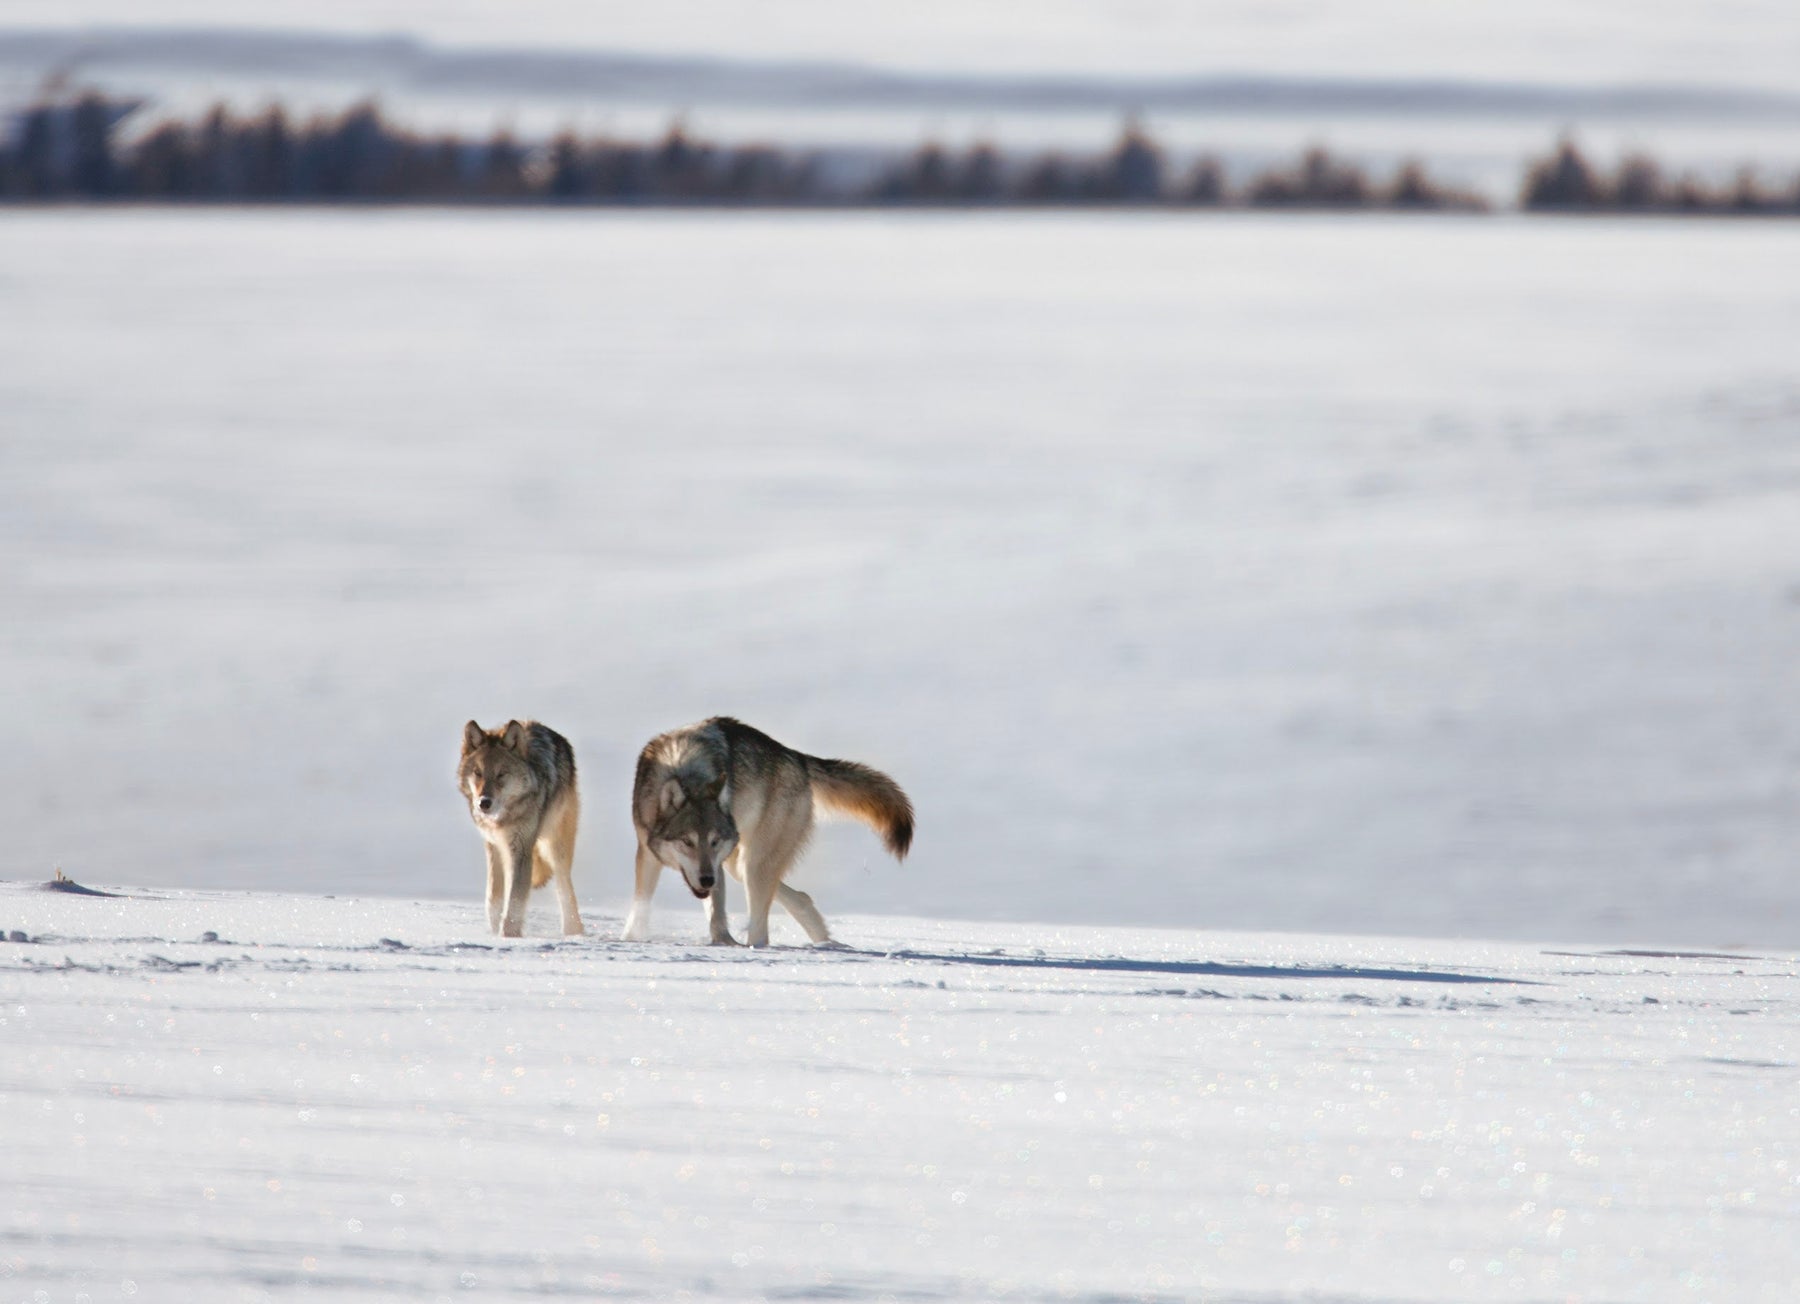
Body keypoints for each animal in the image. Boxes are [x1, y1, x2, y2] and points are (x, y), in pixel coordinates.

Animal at [457, 724, 583, 936]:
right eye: (477, 772)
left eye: (501, 774)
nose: (484, 803)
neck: (503, 819)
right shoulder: (494, 846)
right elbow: (494, 899)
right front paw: (495, 932)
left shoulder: (521, 850)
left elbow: (515, 901)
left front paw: (509, 936)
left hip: (556, 847)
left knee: (565, 889)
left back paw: (573, 932)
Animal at [630, 716, 914, 943]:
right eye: (687, 842)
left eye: (714, 841)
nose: (707, 879)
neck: (685, 768)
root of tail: (797, 757)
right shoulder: (648, 853)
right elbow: (641, 906)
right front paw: (632, 939)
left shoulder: (716, 863)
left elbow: (717, 916)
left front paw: (723, 943)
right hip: (738, 866)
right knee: (800, 897)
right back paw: (825, 942)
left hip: (752, 865)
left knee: (761, 931)